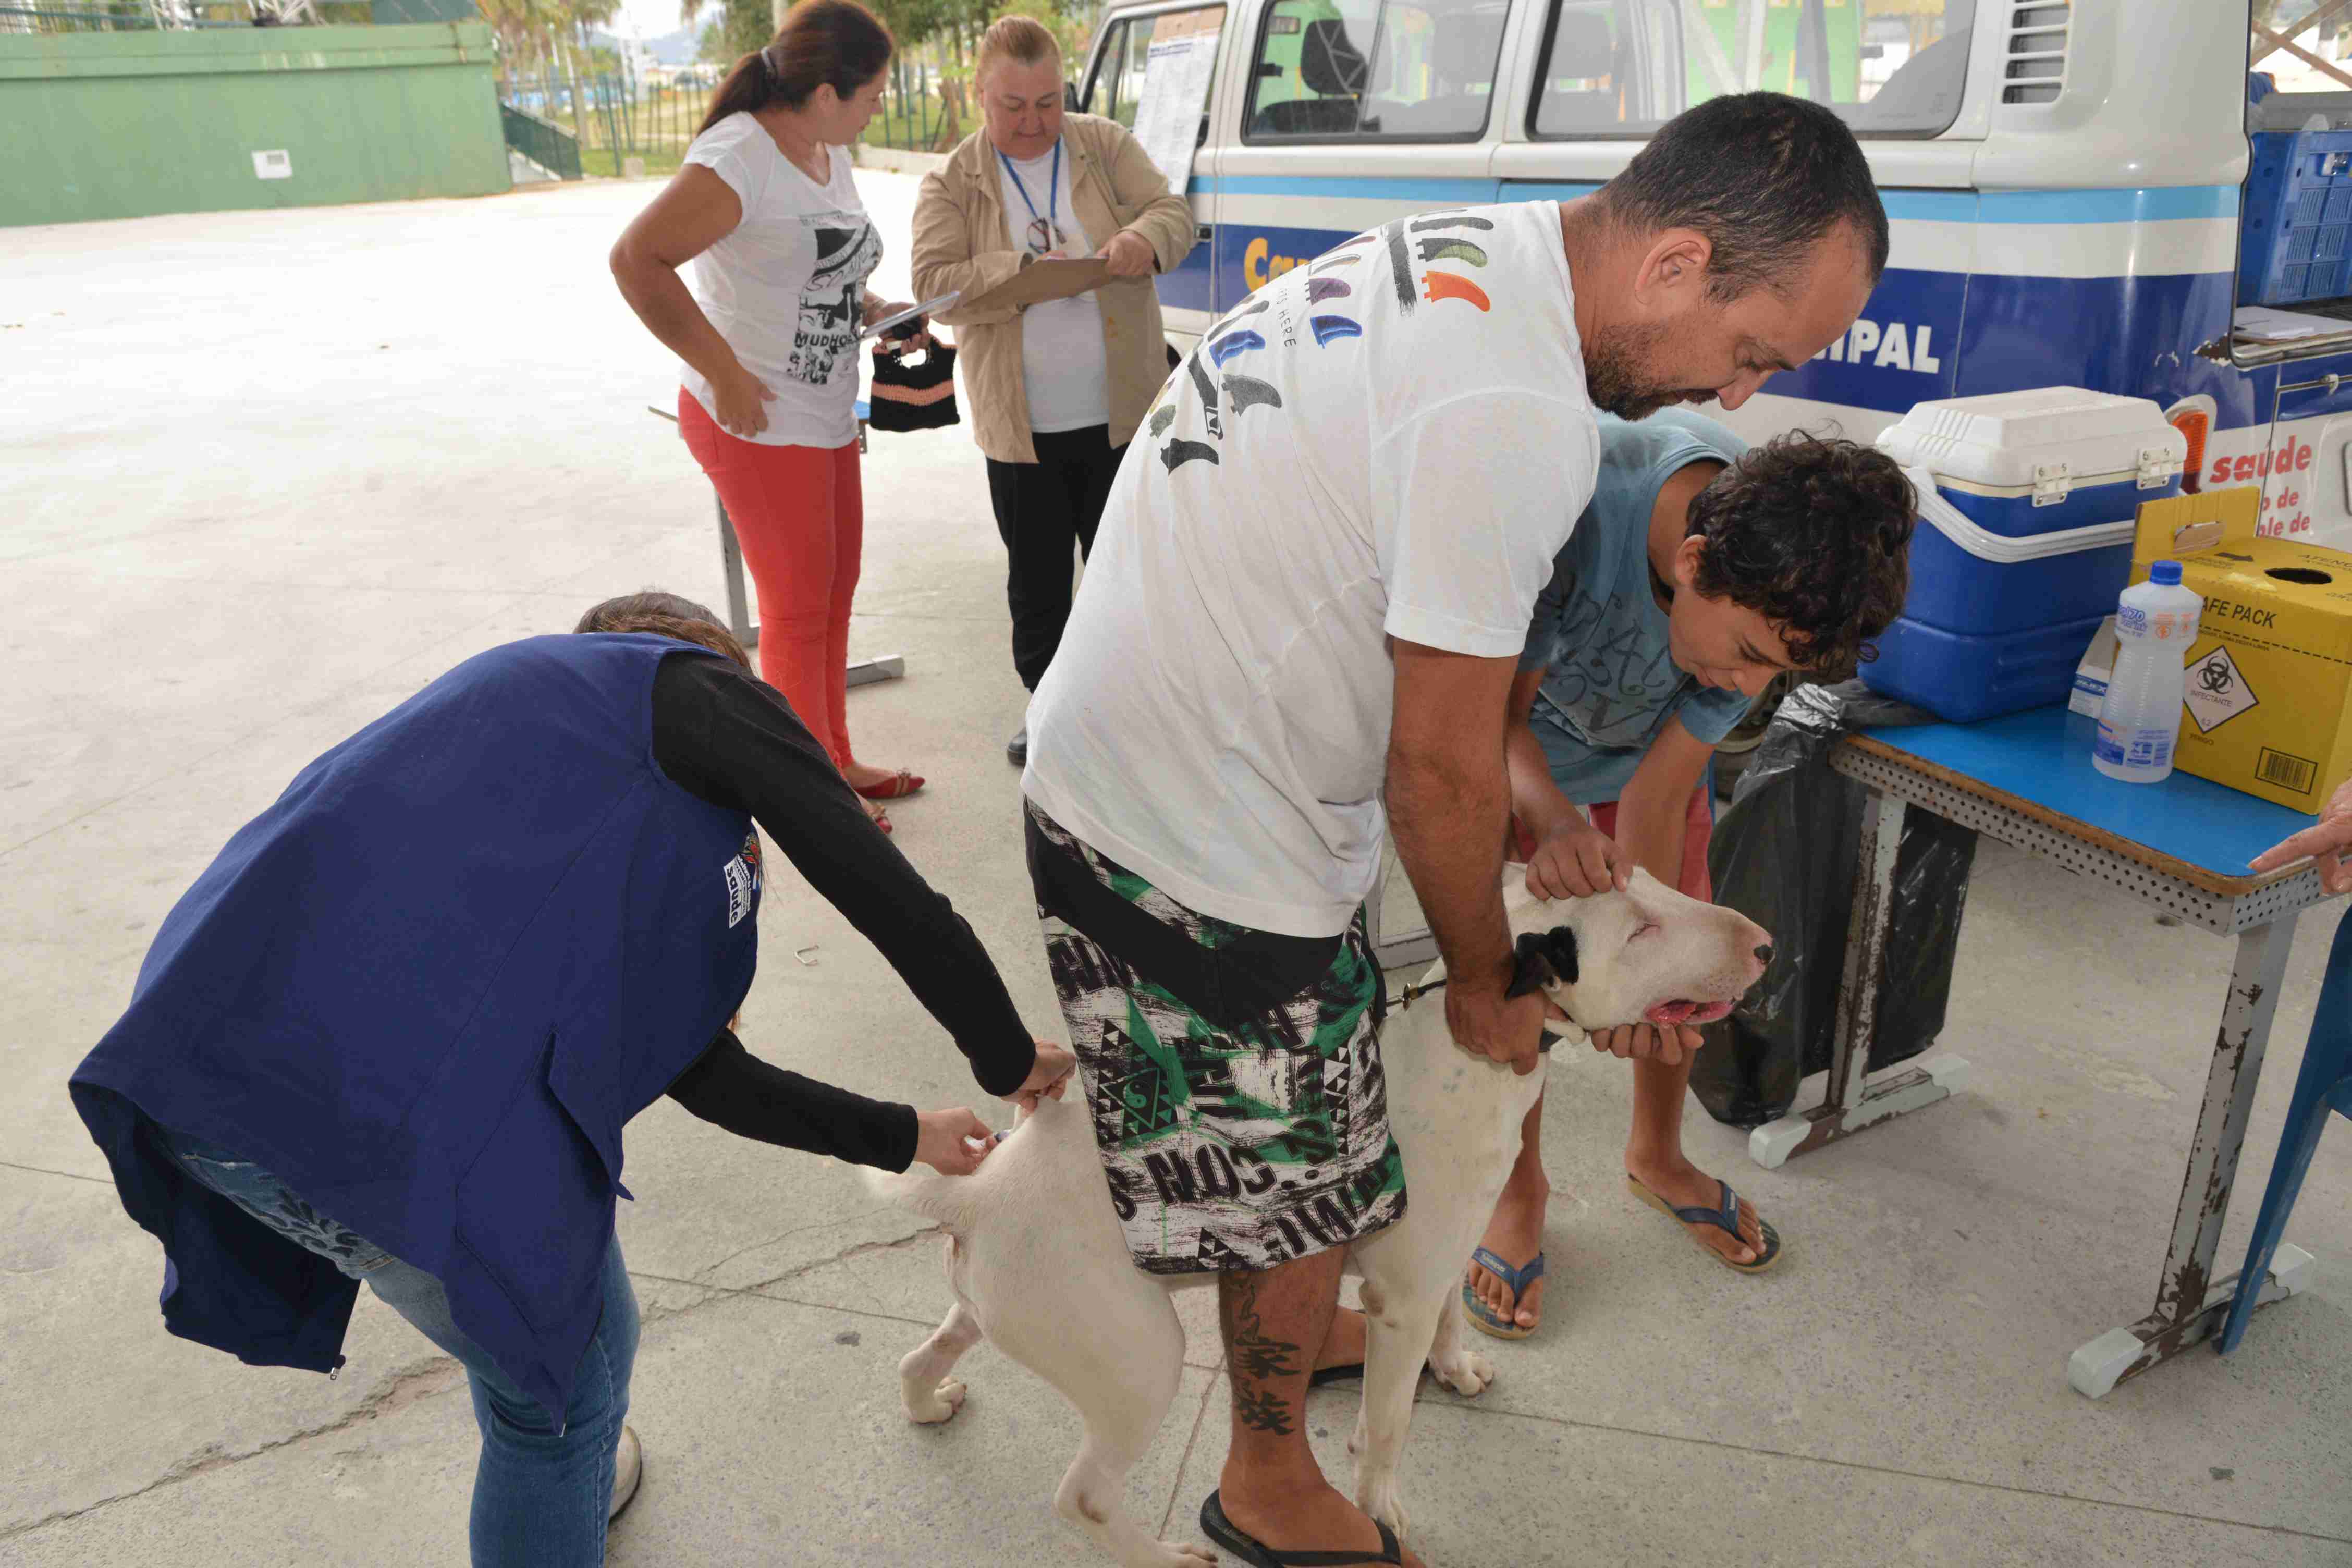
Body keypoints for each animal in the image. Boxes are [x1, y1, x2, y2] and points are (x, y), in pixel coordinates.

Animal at [875, 869, 1769, 1568]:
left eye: (1649, 878)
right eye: (1641, 928)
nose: (1766, 945)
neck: (1467, 1046)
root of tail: (973, 1193)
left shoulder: (1442, 1261)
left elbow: (1452, 1318)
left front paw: (1456, 1369)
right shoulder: (1400, 1304)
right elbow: (1388, 1427)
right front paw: (1379, 1512)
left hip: (999, 1311)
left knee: (920, 1355)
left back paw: (927, 1403)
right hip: (1139, 1361)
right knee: (1083, 1497)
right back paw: (1165, 1555)